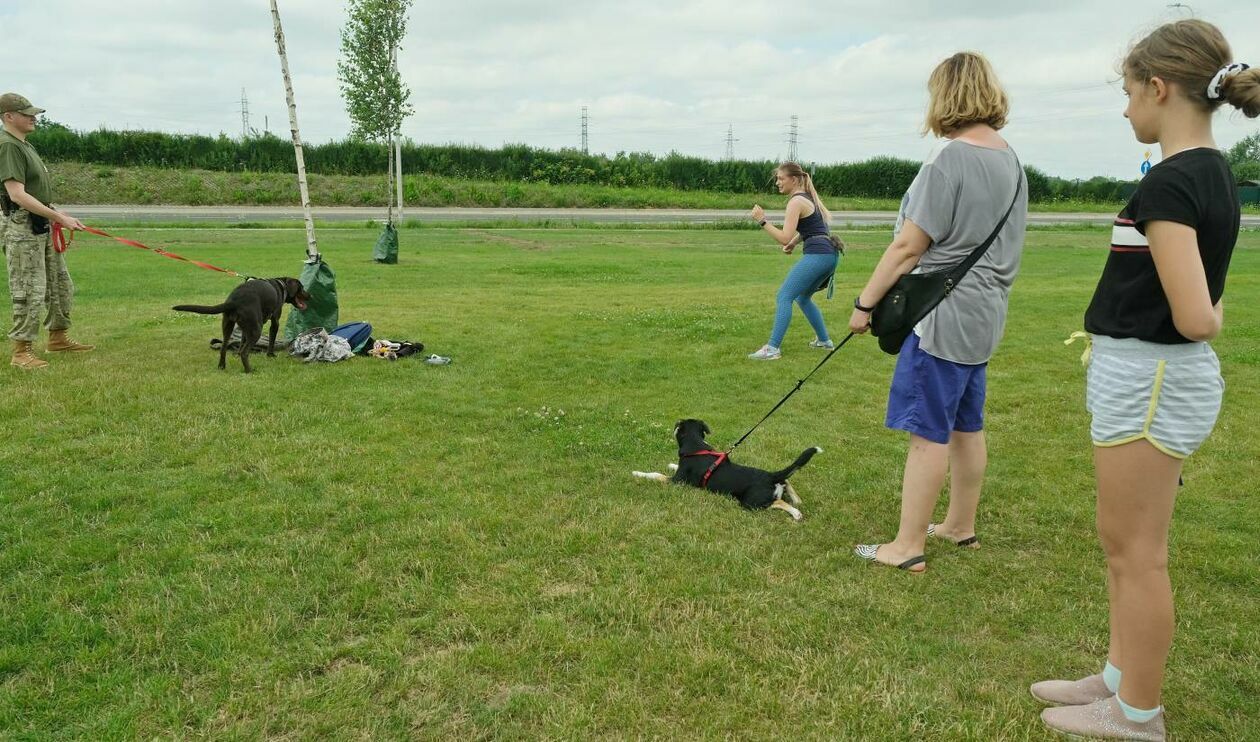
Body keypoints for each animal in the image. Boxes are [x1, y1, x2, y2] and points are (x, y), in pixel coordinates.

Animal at [635, 420, 821, 519]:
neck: (696, 446)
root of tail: (771, 476)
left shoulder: (677, 482)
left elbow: (656, 475)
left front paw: (638, 473)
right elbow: (673, 466)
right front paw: (670, 464)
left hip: (750, 503)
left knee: (777, 502)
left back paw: (795, 513)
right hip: (776, 485)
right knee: (787, 481)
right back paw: (797, 501)